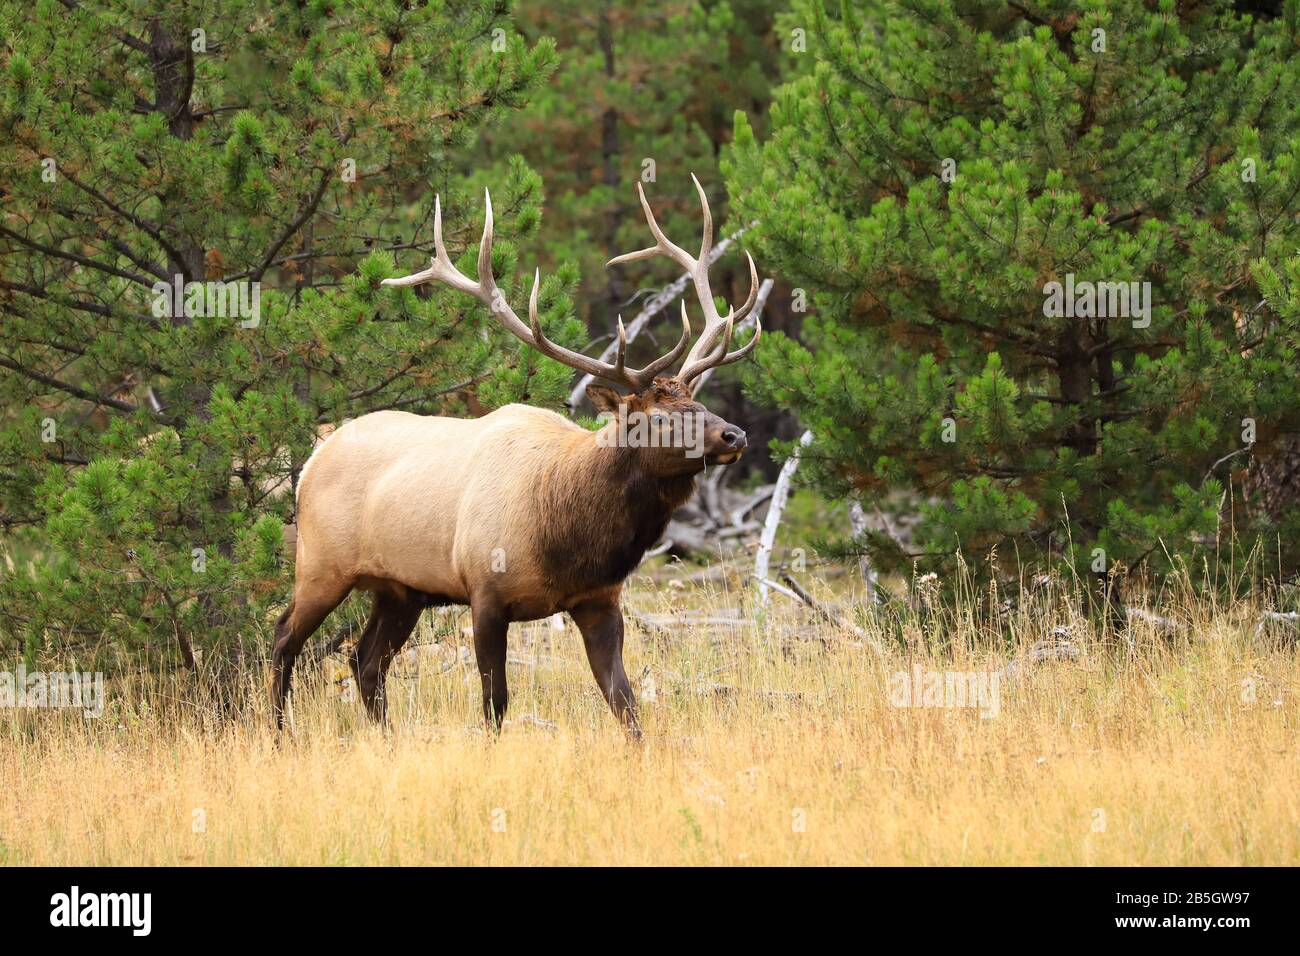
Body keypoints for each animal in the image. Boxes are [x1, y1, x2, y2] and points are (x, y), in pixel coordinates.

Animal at [274, 175, 759, 738]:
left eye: (697, 403)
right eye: (657, 418)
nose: (734, 435)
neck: (568, 537)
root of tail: (312, 460)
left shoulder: (599, 599)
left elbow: (625, 702)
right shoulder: (484, 591)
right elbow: (495, 703)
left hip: (400, 589)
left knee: (365, 659)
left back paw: (386, 739)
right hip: (320, 564)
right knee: (285, 638)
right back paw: (279, 733)